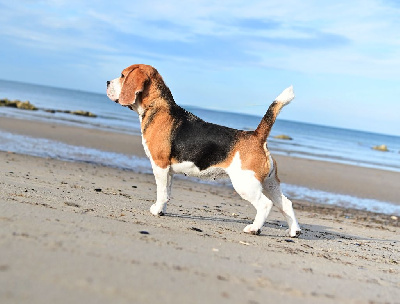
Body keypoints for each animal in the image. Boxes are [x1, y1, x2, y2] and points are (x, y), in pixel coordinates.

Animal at [106, 63, 300, 238]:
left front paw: (156, 210)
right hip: (270, 184)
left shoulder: (159, 165)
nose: (107, 82)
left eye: (123, 75)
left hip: (246, 184)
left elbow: (161, 192)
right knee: (286, 204)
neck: (157, 106)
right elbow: (167, 193)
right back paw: (294, 231)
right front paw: (161, 210)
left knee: (265, 205)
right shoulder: (169, 171)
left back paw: (254, 229)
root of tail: (257, 136)